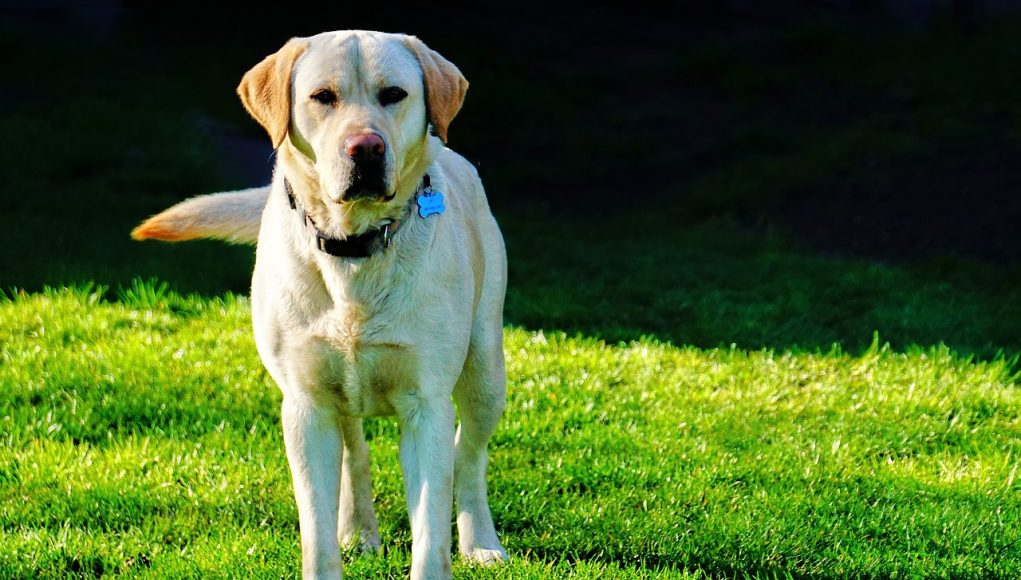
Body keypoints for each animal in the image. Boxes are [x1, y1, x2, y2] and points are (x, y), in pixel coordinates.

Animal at [131, 30, 506, 575]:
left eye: (394, 94)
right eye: (322, 97)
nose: (366, 148)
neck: (354, 249)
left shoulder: (426, 405)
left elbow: (430, 532)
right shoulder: (305, 406)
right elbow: (316, 530)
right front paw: (335, 544)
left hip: (485, 370)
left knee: (470, 455)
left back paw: (481, 542)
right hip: (338, 392)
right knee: (354, 450)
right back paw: (358, 530)